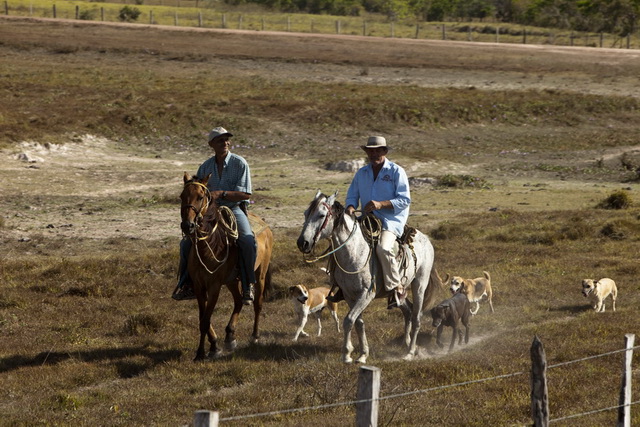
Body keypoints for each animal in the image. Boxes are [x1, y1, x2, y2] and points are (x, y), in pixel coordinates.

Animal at [179, 172, 274, 362]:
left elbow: (205, 320)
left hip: (259, 274)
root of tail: (266, 227)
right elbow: (203, 318)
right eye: (181, 196)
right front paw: (212, 347)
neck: (208, 246)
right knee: (237, 301)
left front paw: (203, 352)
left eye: (200, 197)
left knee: (257, 304)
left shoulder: (214, 286)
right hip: (232, 280)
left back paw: (255, 336)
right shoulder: (199, 287)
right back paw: (230, 336)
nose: (188, 225)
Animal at [296, 192, 442, 362]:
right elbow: (358, 322)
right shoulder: (350, 295)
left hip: (419, 284)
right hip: (399, 293)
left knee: (417, 317)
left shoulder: (366, 294)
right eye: (306, 213)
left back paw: (410, 352)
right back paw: (407, 343)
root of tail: (425, 239)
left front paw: (346, 355)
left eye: (321, 215)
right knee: (408, 312)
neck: (354, 253)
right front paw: (362, 354)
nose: (303, 243)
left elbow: (349, 320)